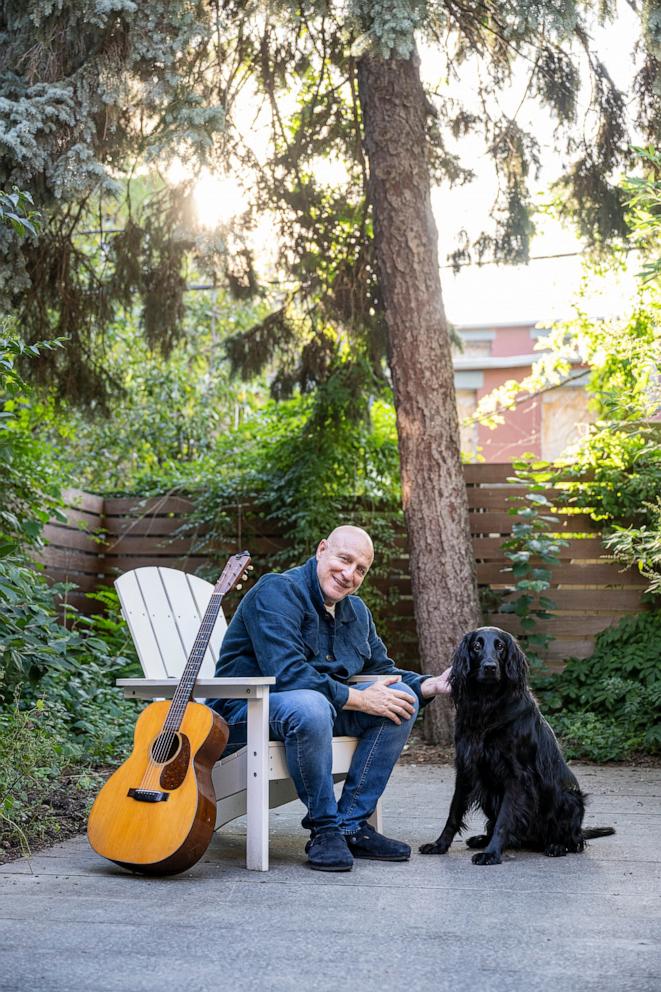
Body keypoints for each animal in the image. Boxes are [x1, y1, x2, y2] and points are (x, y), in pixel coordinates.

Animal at [418, 628, 612, 868]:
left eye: (500, 646)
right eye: (476, 646)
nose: (490, 667)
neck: (487, 705)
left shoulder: (518, 776)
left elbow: (504, 820)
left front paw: (491, 854)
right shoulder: (465, 768)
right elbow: (454, 813)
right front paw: (439, 845)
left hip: (569, 799)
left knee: (574, 841)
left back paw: (556, 846)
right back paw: (482, 839)